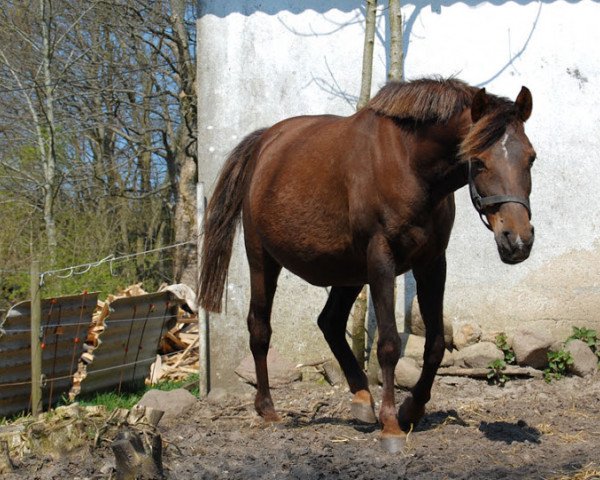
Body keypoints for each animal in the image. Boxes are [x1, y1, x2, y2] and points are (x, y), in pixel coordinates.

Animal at [199, 77, 536, 452]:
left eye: (531, 158)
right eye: (477, 161)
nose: (517, 240)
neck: (410, 163)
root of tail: (264, 144)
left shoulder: (432, 263)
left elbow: (435, 344)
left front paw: (411, 410)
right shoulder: (381, 258)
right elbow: (388, 343)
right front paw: (391, 425)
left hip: (349, 272)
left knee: (330, 322)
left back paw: (362, 399)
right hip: (263, 260)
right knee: (260, 328)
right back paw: (268, 409)